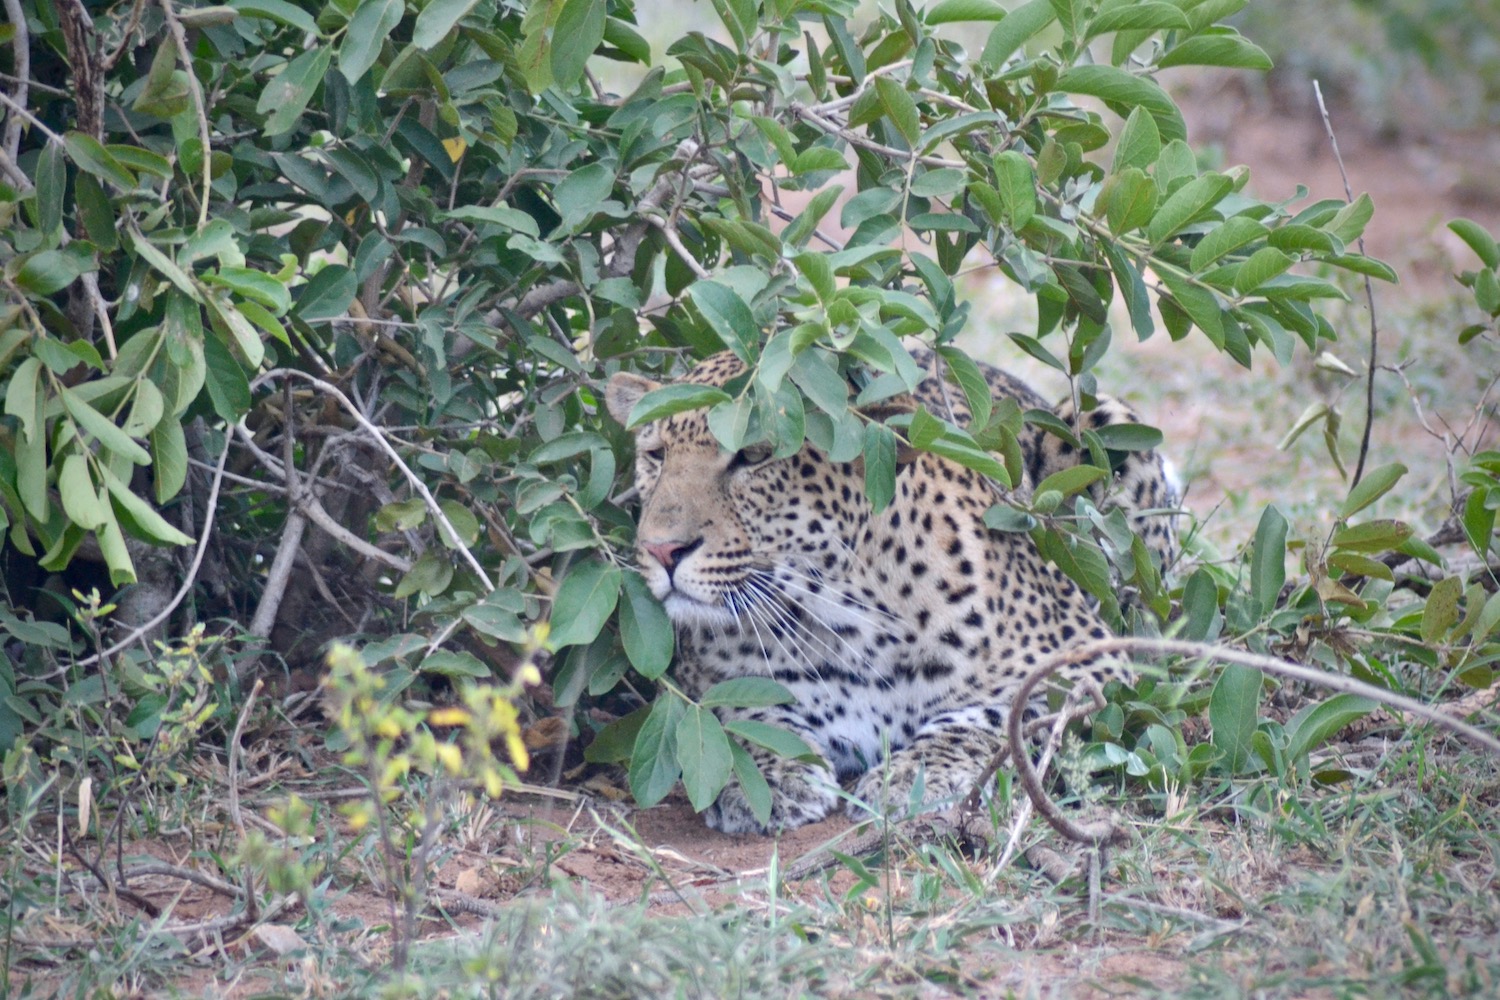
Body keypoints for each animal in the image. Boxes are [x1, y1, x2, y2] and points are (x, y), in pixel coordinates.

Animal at [605, 349, 1178, 835]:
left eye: (754, 456)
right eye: (656, 455)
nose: (661, 550)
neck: (837, 621)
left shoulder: (1087, 658)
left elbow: (997, 713)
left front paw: (918, 775)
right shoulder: (699, 675)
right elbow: (739, 709)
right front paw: (769, 776)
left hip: (1100, 425)